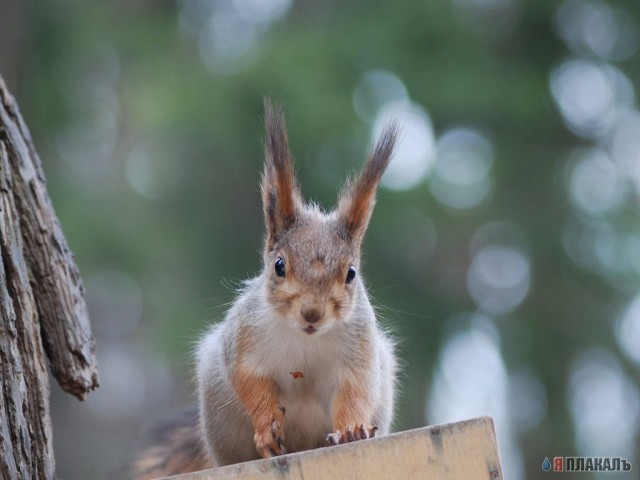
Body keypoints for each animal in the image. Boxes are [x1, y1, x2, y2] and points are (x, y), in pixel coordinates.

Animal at [131, 99, 400, 478]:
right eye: (279, 266)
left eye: (351, 273)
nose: (312, 313)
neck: (306, 339)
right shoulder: (244, 338)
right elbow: (249, 380)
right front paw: (267, 427)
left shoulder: (361, 351)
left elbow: (355, 392)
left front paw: (352, 430)